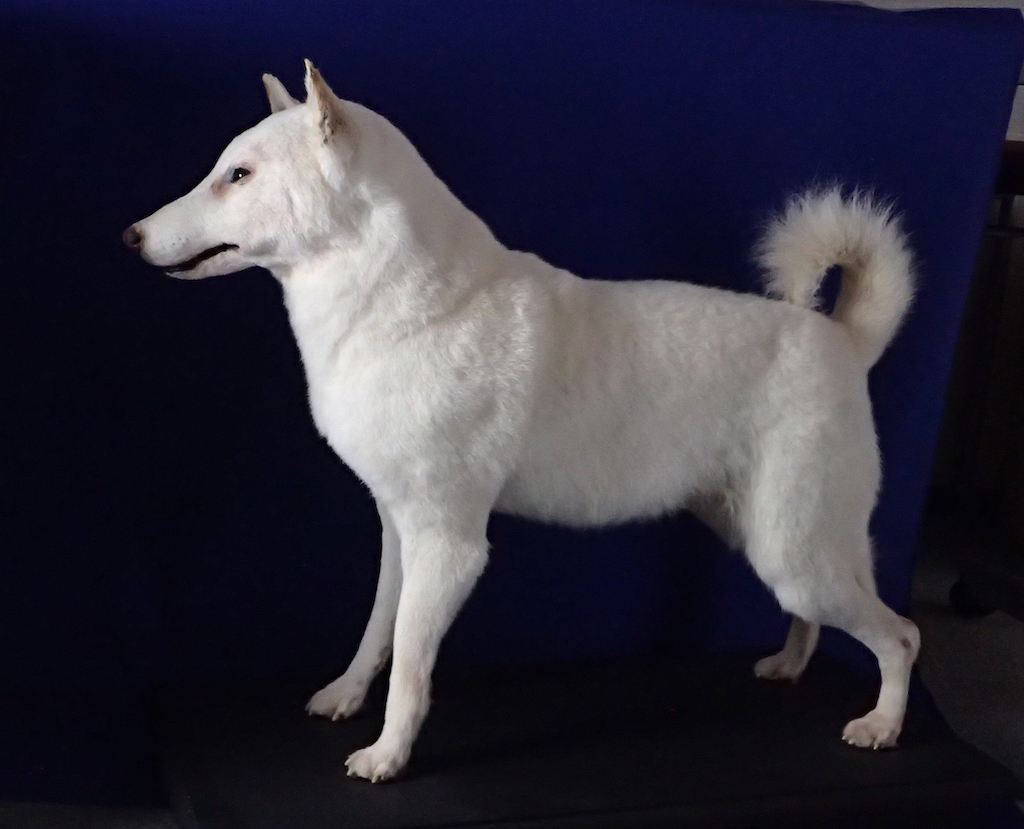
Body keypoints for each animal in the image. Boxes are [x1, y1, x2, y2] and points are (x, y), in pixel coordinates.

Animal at [124, 61, 920, 782]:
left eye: (238, 175)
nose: (130, 236)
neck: (411, 304)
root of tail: (842, 339)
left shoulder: (449, 546)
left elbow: (410, 665)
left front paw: (388, 756)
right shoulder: (399, 531)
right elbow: (379, 628)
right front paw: (348, 695)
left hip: (795, 554)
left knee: (900, 636)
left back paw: (882, 723)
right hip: (773, 539)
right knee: (822, 618)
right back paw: (790, 664)